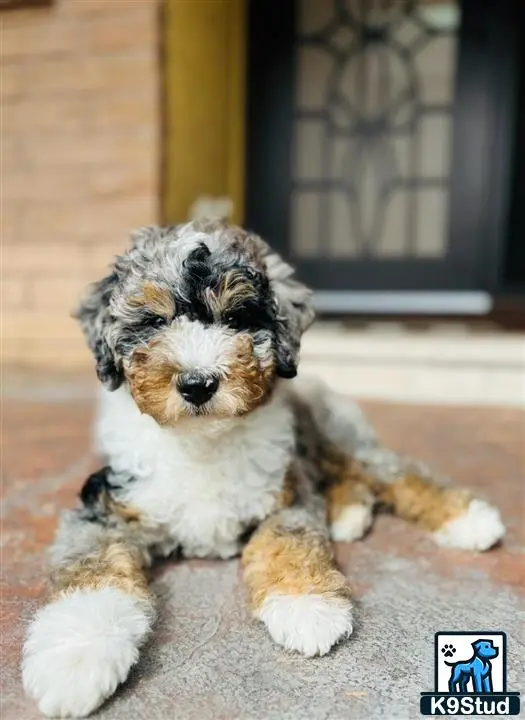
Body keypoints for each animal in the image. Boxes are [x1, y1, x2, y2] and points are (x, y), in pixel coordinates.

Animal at [20, 219, 504, 716]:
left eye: (236, 319)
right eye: (154, 321)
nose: (197, 384)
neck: (203, 441)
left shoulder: (285, 495)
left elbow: (288, 540)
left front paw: (308, 608)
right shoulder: (103, 507)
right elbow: (91, 571)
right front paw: (74, 661)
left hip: (337, 433)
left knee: (395, 472)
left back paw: (469, 520)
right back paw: (349, 515)